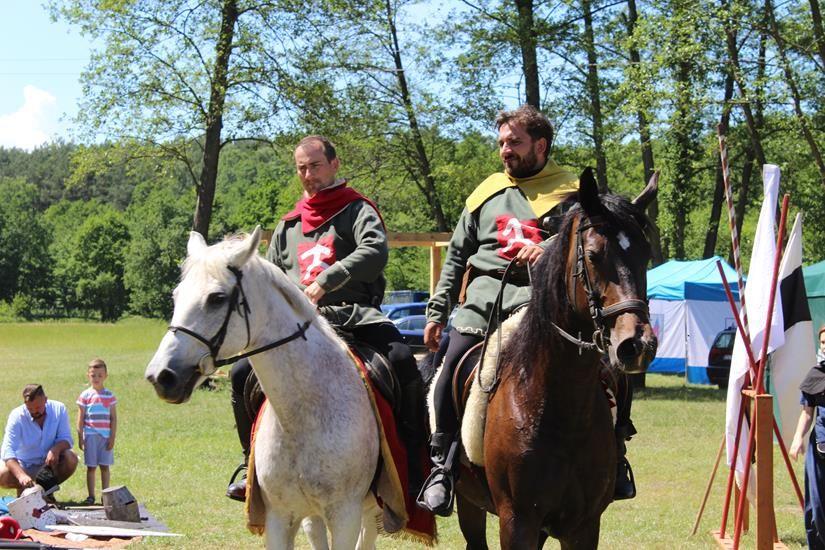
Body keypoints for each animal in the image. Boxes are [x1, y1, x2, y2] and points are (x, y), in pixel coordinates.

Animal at [144, 226, 380, 548]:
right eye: (176, 296)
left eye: (217, 298)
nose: (161, 376)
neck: (302, 418)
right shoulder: (280, 517)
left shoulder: (345, 516)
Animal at [450, 169, 656, 550]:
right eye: (594, 255)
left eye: (645, 254)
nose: (637, 345)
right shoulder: (517, 522)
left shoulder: (583, 526)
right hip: (469, 501)